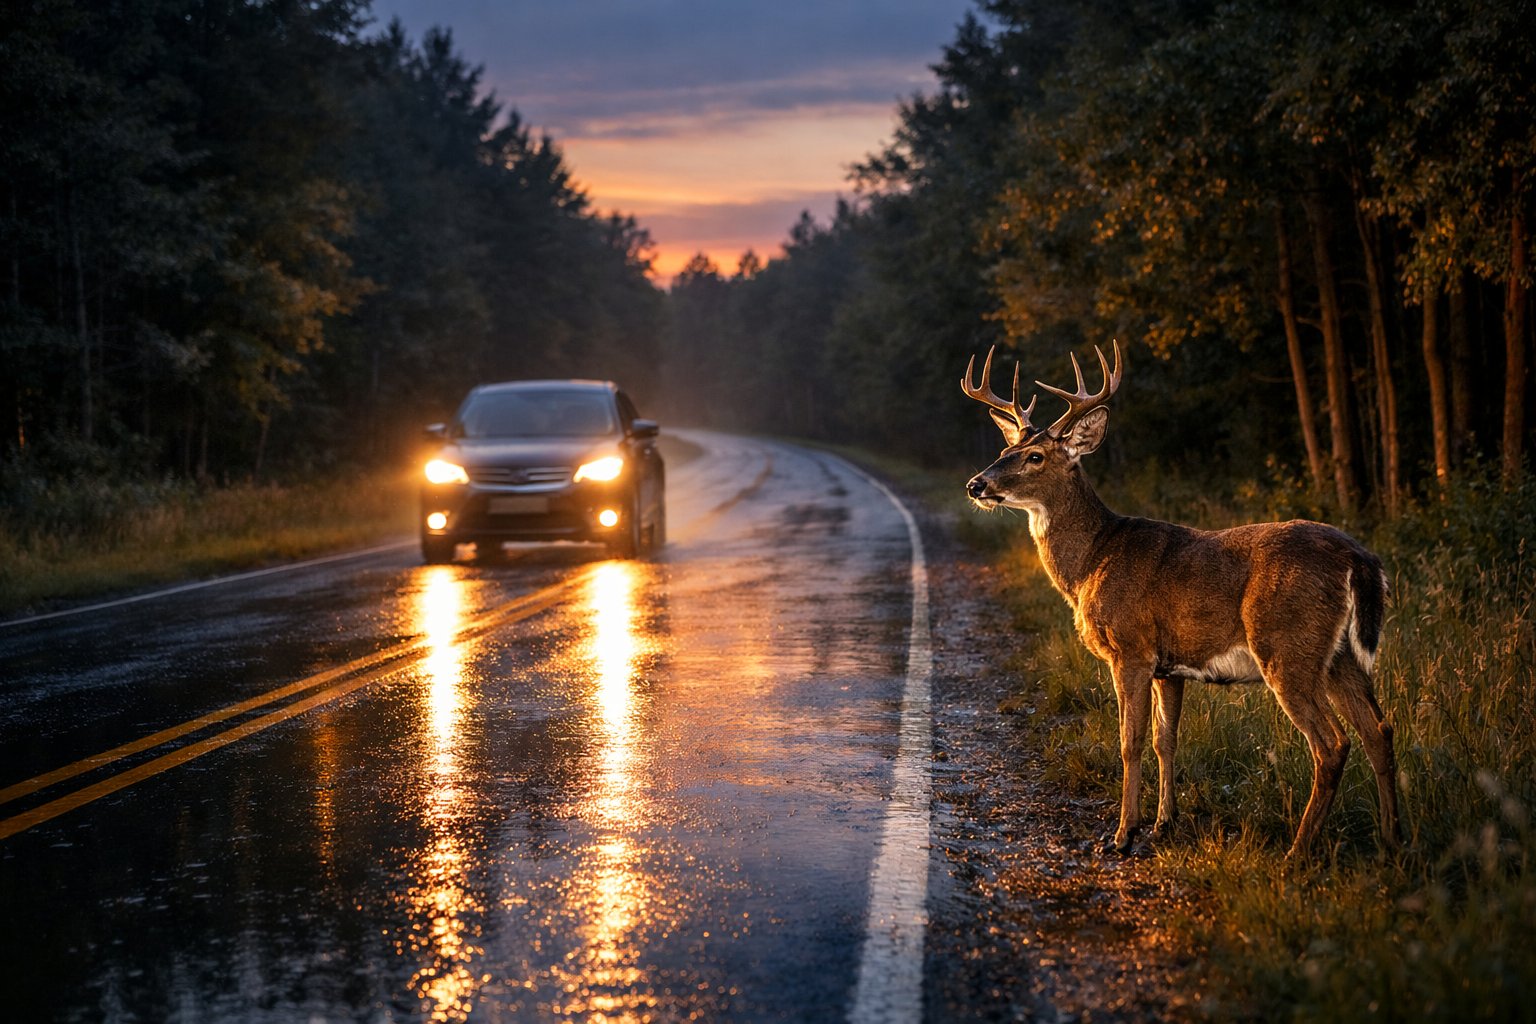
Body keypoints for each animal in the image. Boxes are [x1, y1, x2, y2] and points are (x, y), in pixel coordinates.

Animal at [962, 342, 1401, 860]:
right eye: (1003, 450)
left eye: (1034, 456)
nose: (976, 485)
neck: (1091, 561)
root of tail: (1359, 557)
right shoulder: (1168, 666)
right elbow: (1164, 740)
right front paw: (1163, 823)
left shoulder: (1130, 649)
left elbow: (1130, 741)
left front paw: (1123, 834)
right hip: (1339, 655)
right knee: (1379, 730)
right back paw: (1396, 842)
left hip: (1287, 646)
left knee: (1332, 744)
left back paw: (1297, 852)